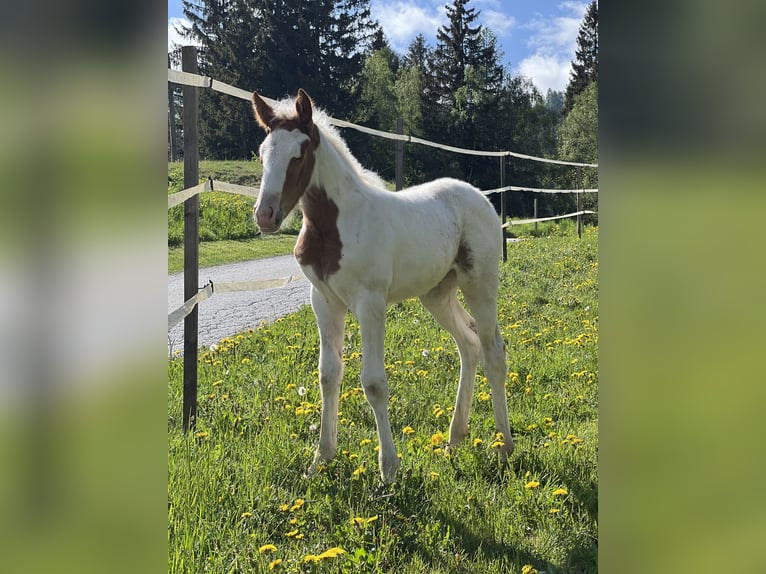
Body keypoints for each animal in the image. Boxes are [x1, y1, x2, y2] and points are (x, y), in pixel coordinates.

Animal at [251, 89, 513, 483]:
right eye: (262, 153)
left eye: (298, 155)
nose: (265, 215)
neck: (335, 226)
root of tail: (479, 195)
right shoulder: (323, 301)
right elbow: (328, 375)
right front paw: (321, 459)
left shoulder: (370, 302)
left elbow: (374, 382)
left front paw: (388, 468)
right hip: (437, 292)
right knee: (468, 344)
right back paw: (455, 439)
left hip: (479, 282)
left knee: (493, 349)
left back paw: (504, 446)